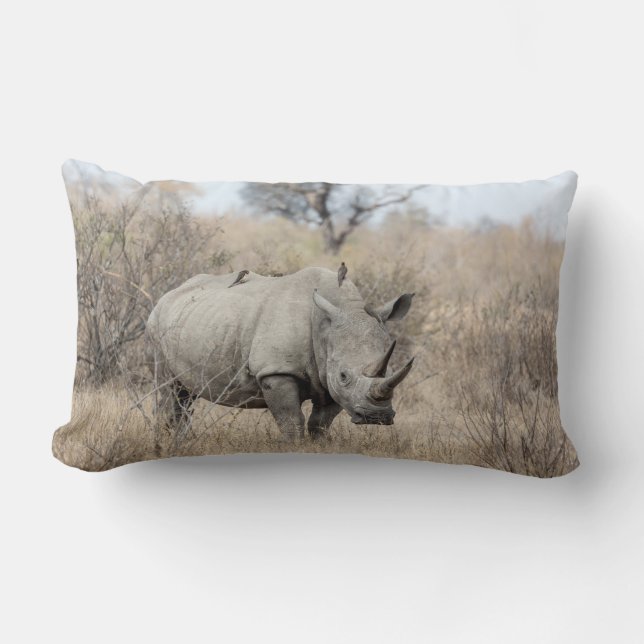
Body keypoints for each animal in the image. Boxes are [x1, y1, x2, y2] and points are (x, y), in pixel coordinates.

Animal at [146, 267, 415, 440]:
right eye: (344, 376)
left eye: (391, 370)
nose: (376, 417)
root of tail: (170, 293)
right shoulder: (276, 371)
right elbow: (291, 422)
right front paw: (294, 446)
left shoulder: (327, 377)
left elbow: (320, 424)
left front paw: (318, 446)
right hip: (156, 325)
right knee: (171, 389)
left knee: (185, 395)